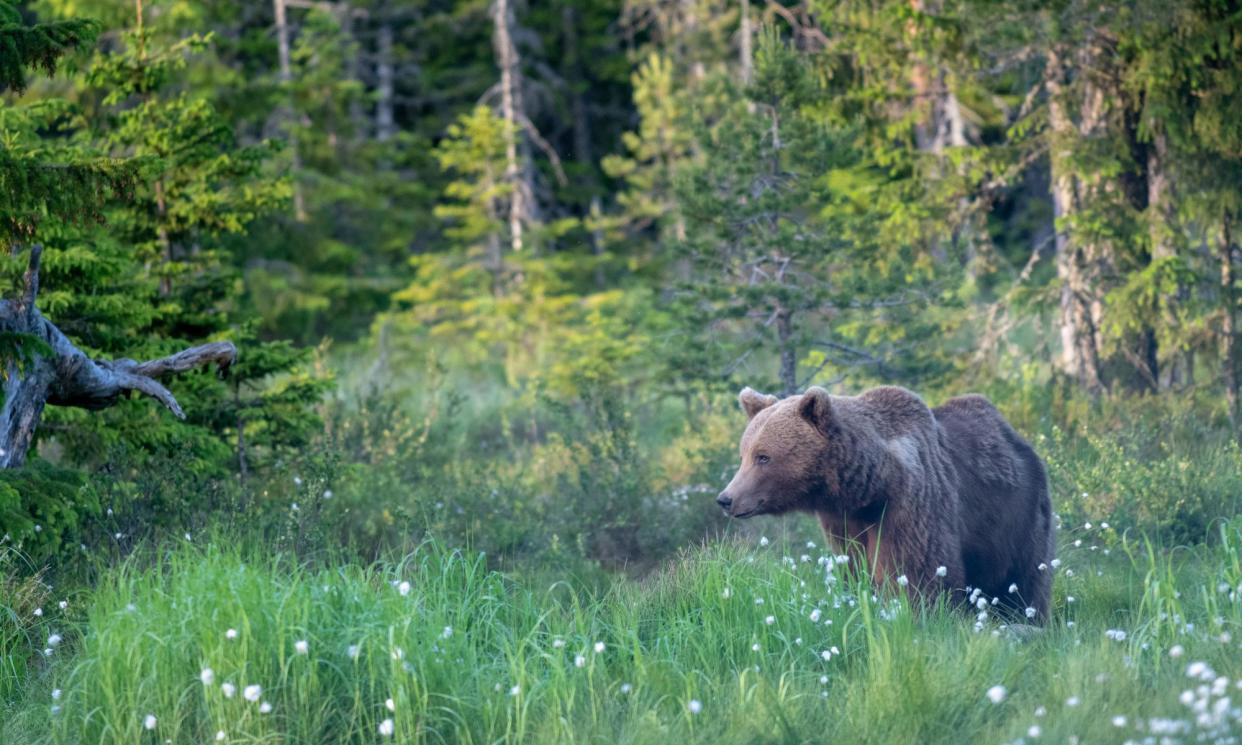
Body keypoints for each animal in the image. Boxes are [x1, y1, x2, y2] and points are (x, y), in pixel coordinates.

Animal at [720, 387, 1058, 620]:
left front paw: (916, 613)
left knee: (1024, 577)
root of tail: (1016, 436)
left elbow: (918, 571)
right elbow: (854, 567)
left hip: (1017, 516)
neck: (872, 485)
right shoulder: (844, 522)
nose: (726, 498)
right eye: (743, 454)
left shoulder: (910, 507)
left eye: (763, 457)